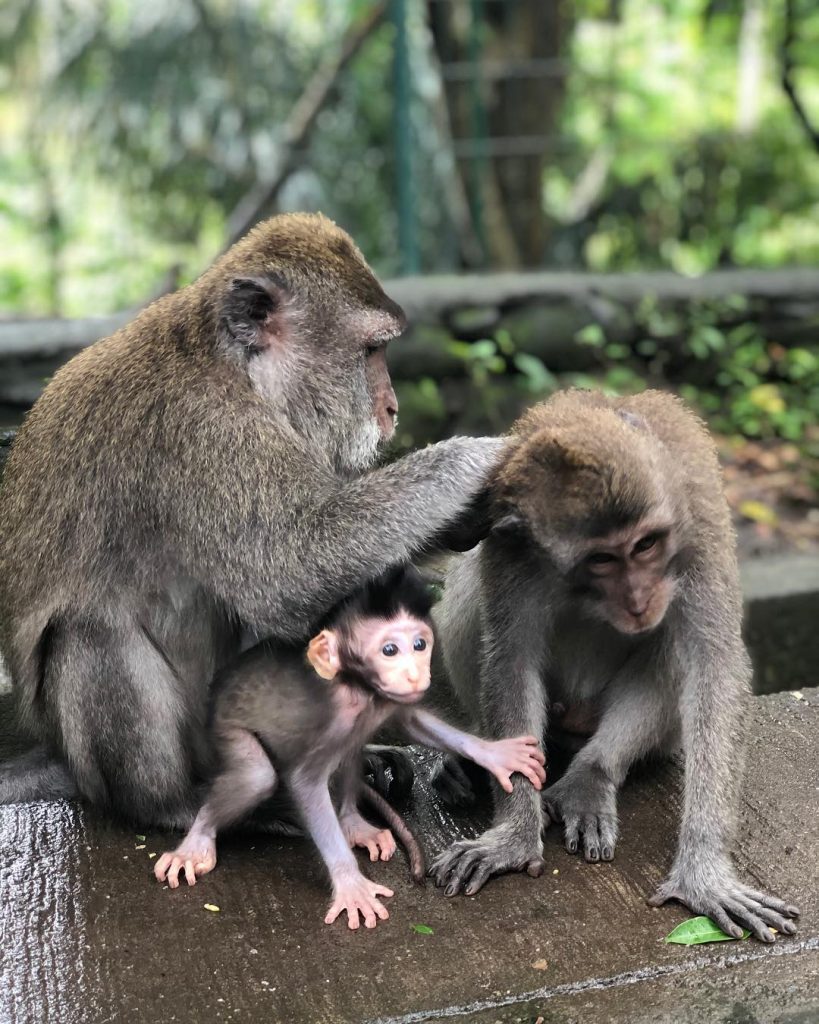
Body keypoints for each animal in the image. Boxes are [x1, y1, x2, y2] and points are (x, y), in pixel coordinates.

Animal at [0, 212, 505, 828]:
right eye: (370, 351)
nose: (392, 408)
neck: (237, 370)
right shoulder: (206, 430)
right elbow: (288, 570)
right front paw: (479, 459)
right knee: (91, 630)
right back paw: (178, 803)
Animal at [153, 565, 546, 930]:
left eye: (420, 645)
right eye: (390, 650)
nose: (416, 674)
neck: (358, 687)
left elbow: (411, 721)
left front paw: (495, 754)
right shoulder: (336, 716)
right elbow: (305, 783)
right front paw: (350, 883)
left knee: (349, 751)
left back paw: (353, 823)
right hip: (224, 726)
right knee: (256, 776)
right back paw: (198, 840)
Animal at [427, 388, 800, 943]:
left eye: (646, 545)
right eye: (602, 559)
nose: (640, 598)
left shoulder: (696, 522)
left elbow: (714, 663)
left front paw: (705, 873)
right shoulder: (508, 542)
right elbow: (511, 659)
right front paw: (513, 836)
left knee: (672, 642)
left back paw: (592, 775)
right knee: (469, 582)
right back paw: (471, 755)